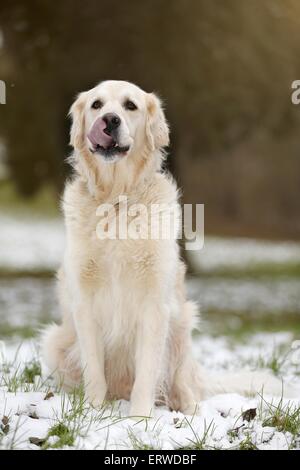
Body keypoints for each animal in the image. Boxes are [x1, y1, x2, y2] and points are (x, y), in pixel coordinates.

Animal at [41, 80, 298, 414]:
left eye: (130, 105)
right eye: (97, 104)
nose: (109, 120)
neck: (117, 200)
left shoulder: (155, 305)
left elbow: (147, 373)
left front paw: (139, 419)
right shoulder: (84, 302)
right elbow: (94, 370)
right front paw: (91, 413)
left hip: (182, 326)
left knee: (183, 386)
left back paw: (187, 410)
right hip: (54, 339)